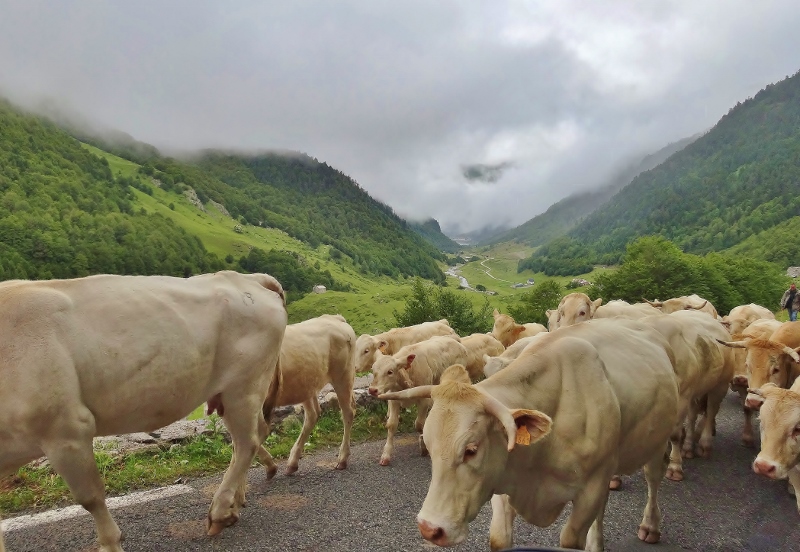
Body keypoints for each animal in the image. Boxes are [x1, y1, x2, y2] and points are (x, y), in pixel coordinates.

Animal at [0, 271, 288, 552]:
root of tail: (247, 277)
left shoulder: (66, 430)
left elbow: (91, 498)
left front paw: (111, 544)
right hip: (233, 394)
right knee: (252, 435)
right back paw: (237, 501)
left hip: (243, 387)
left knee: (246, 443)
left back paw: (220, 511)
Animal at [257, 314, 356, 478]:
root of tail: (334, 318)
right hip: (306, 385)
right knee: (313, 414)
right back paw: (292, 462)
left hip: (343, 377)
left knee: (347, 412)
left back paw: (342, 458)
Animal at [367, 336, 468, 466]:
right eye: (373, 370)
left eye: (390, 371)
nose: (372, 390)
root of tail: (454, 339)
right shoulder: (393, 400)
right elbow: (391, 425)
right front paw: (386, 455)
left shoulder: (424, 400)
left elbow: (420, 424)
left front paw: (424, 445)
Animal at [379, 319, 679, 551]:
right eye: (429, 448)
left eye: (471, 450)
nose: (429, 529)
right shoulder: (501, 476)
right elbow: (499, 539)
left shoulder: (590, 490)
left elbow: (571, 539)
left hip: (657, 440)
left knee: (653, 477)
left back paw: (650, 525)